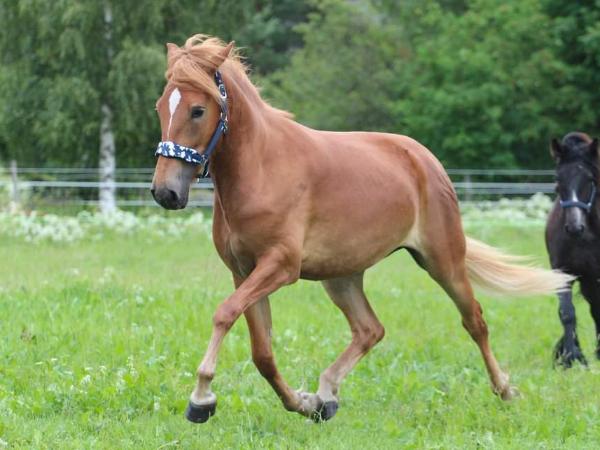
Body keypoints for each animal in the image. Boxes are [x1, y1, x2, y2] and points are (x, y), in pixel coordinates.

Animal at [150, 35, 572, 423]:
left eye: (198, 110)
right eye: (161, 106)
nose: (165, 192)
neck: (262, 169)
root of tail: (425, 160)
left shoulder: (280, 266)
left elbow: (224, 314)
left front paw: (201, 398)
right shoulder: (244, 272)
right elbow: (263, 353)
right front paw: (302, 403)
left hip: (443, 261)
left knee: (475, 321)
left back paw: (505, 390)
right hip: (342, 276)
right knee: (370, 329)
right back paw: (326, 394)